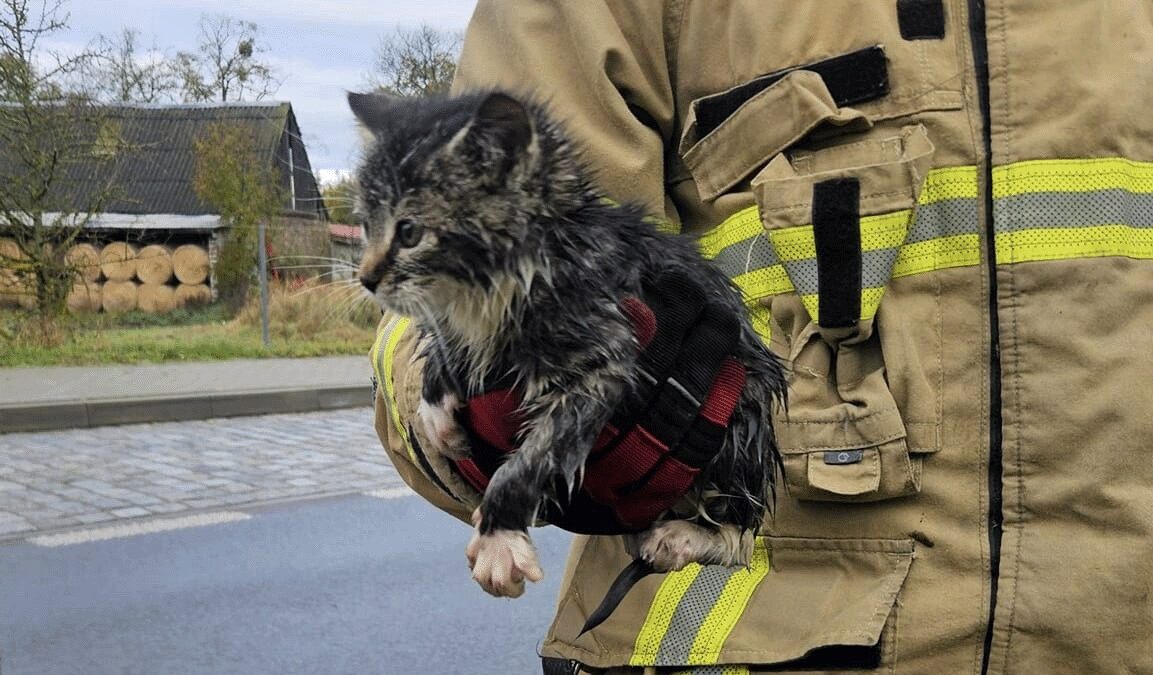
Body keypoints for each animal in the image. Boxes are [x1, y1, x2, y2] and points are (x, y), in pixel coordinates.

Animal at [348, 88, 784, 604]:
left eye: (410, 232)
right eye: (365, 225)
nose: (366, 278)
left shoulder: (605, 354)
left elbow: (535, 457)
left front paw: (499, 535)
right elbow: (446, 349)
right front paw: (437, 410)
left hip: (741, 411)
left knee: (743, 533)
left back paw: (690, 536)